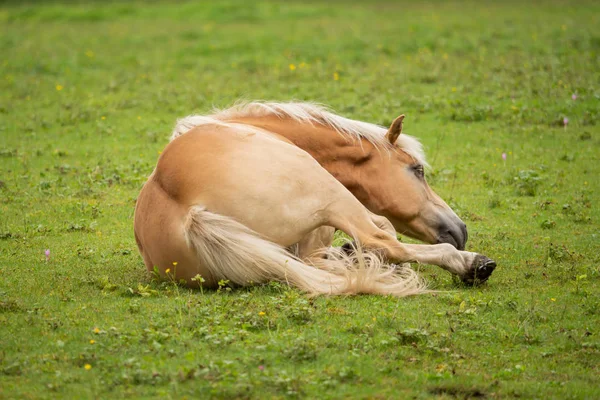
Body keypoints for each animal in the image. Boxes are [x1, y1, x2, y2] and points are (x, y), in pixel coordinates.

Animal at [136, 101, 496, 296]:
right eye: (417, 169)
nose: (460, 229)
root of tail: (190, 214)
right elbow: (382, 233)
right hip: (331, 195)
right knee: (381, 239)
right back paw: (471, 264)